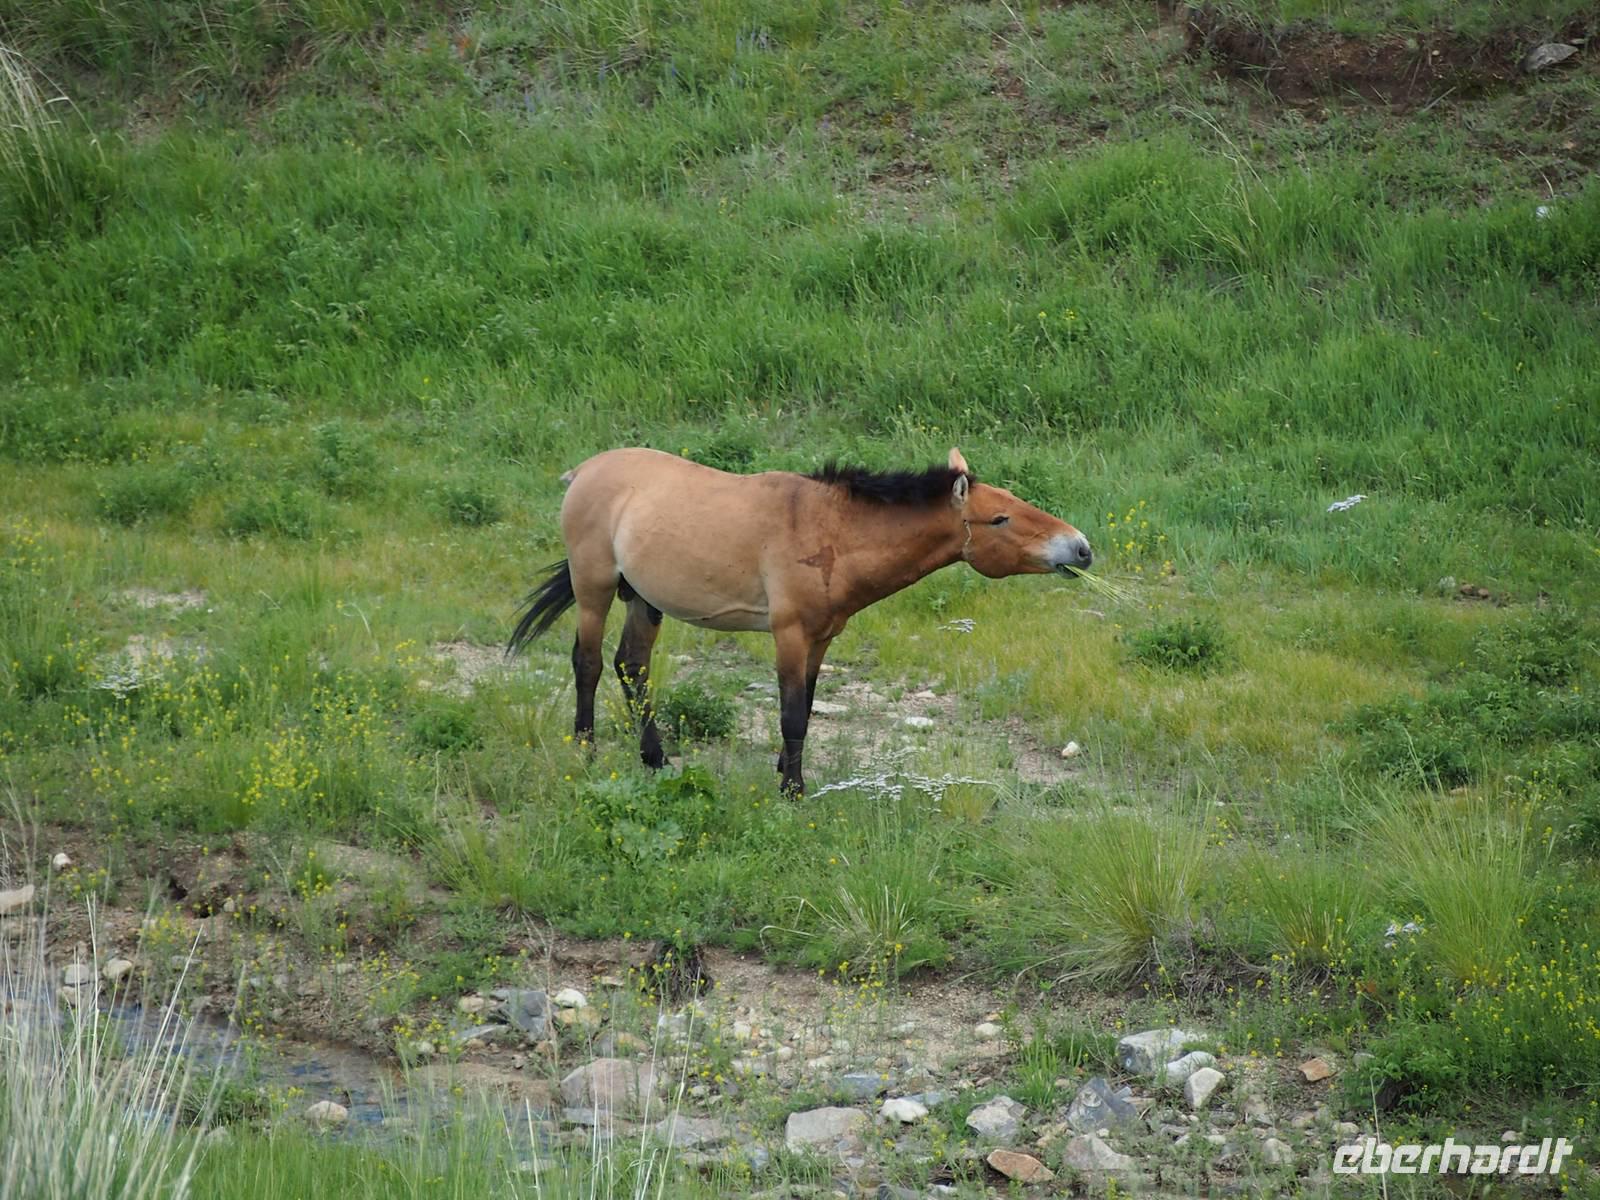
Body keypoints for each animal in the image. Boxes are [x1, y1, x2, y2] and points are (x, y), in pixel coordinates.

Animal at [507, 447, 1092, 796]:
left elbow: (807, 710)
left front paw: (786, 772)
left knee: (632, 667)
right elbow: (791, 715)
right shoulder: (788, 636)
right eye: (1000, 519)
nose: (1081, 548)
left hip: (643, 600)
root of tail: (584, 471)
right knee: (588, 664)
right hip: (595, 589)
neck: (830, 530)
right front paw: (793, 790)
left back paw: (654, 758)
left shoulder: (821, 639)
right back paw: (585, 752)